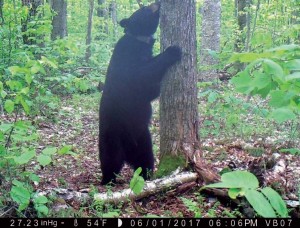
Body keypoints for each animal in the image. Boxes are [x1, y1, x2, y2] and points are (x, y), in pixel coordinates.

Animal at [99, 2, 182, 184]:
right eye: (144, 8)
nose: (158, 2)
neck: (139, 40)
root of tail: (128, 151)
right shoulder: (127, 62)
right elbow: (142, 75)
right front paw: (173, 51)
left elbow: (148, 92)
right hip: (111, 136)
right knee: (110, 159)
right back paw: (107, 179)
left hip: (143, 138)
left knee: (145, 159)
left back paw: (147, 175)